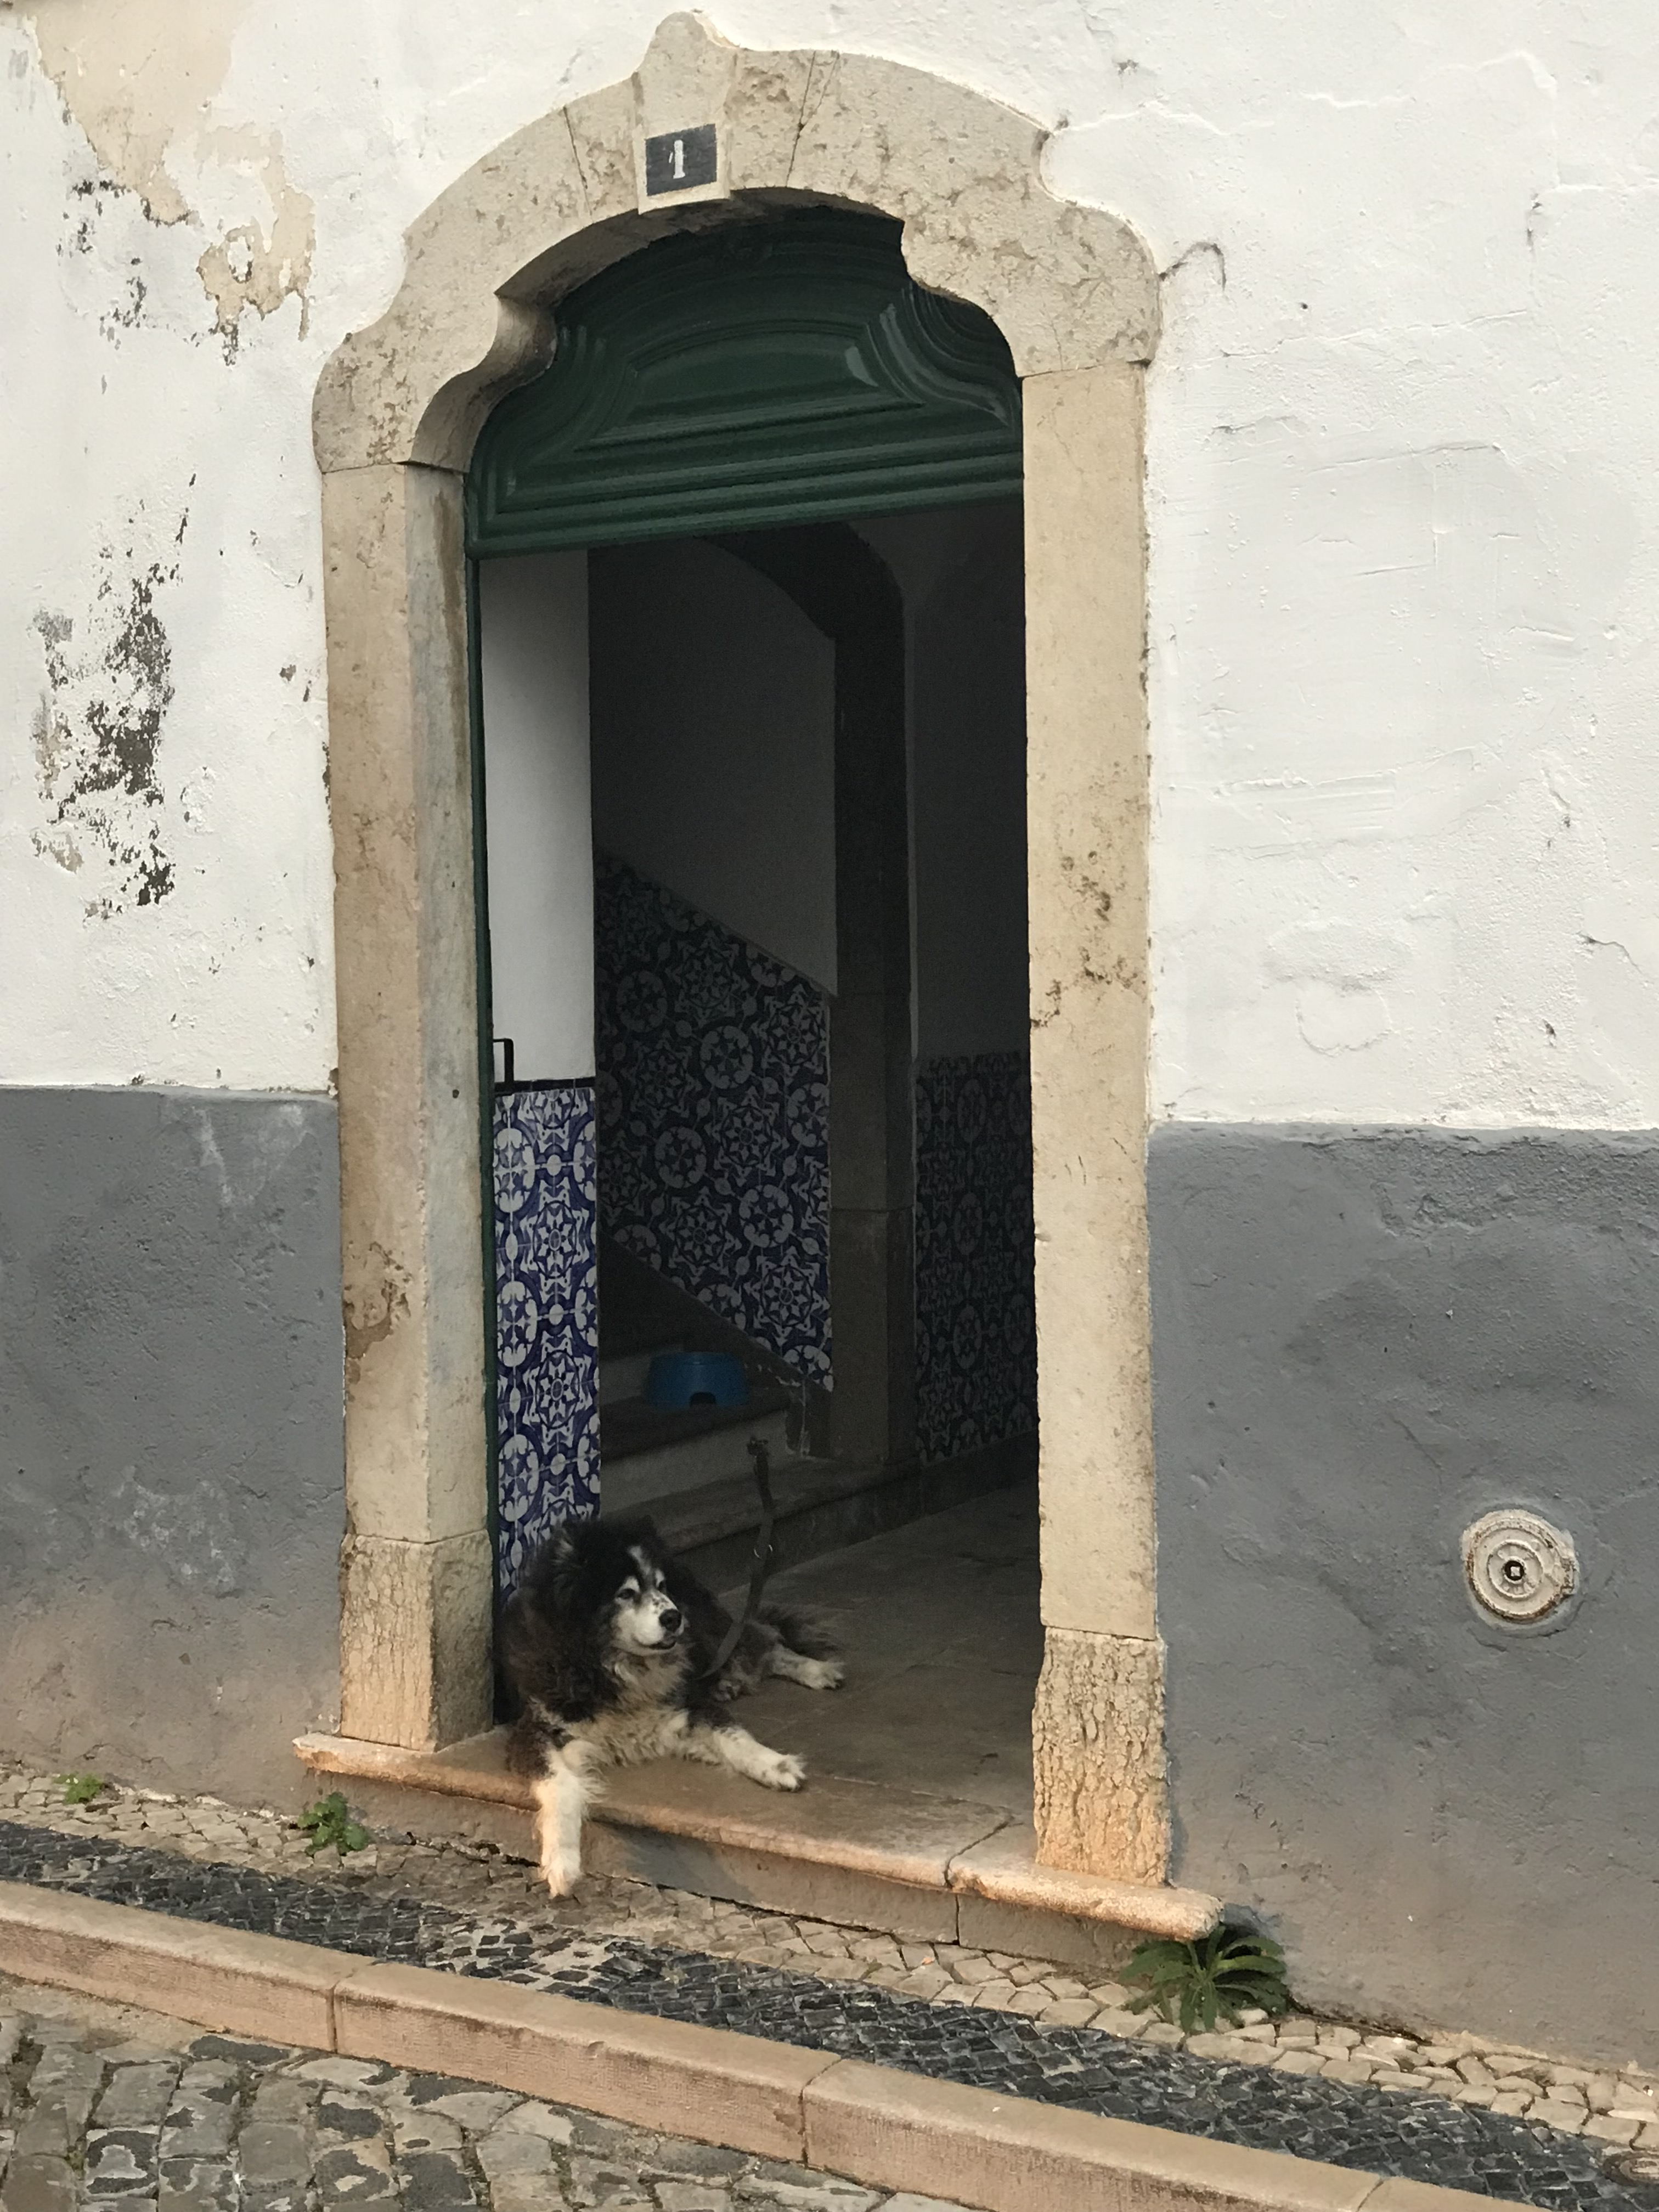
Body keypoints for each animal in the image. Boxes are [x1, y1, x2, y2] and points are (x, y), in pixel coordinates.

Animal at [500, 1522, 845, 1902]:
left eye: (662, 1587)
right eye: (625, 1593)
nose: (673, 1617)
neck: (608, 1666)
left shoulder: (685, 1707)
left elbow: (734, 1735)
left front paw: (776, 1765)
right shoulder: (535, 1730)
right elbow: (562, 1786)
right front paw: (562, 1864)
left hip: (710, 1636)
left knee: (764, 1641)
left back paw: (815, 1670)